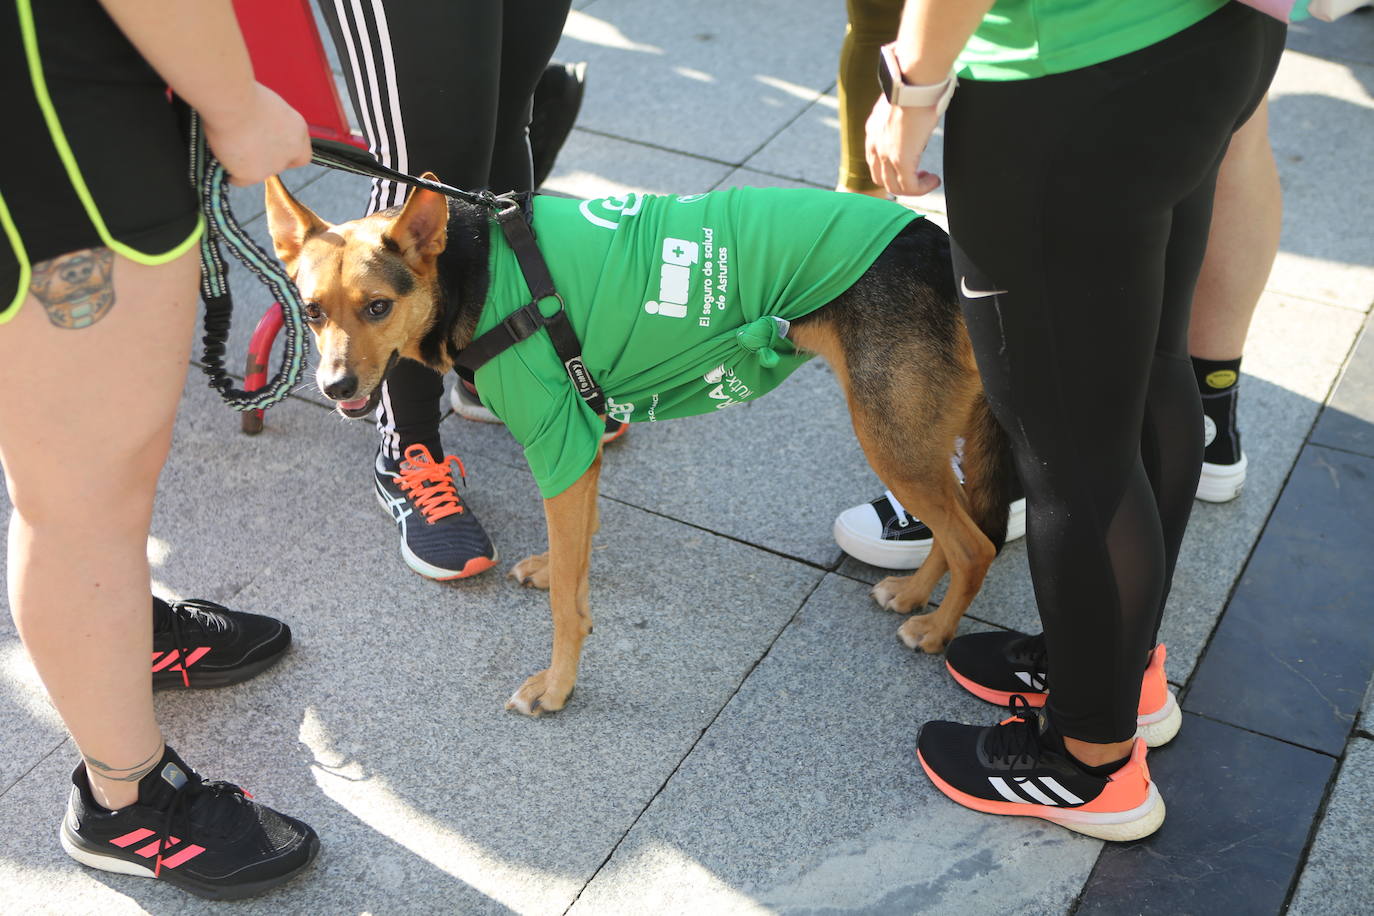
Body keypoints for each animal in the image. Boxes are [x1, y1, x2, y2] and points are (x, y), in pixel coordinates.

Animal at [267, 173, 1016, 714]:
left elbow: (568, 607)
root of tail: (941, 246)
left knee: (975, 544)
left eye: (378, 308)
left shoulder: (559, 439)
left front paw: (557, 688)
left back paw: (937, 630)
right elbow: (579, 549)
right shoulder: (581, 438)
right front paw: (557, 569)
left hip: (891, 434)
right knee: (962, 529)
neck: (470, 273)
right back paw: (914, 594)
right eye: (312, 312)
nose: (335, 386)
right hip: (914, 437)